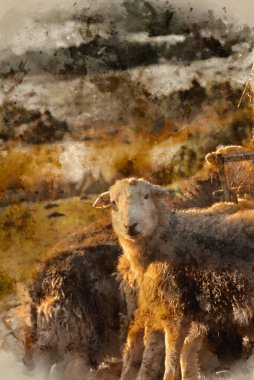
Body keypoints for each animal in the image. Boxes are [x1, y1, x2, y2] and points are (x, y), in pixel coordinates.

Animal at [93, 178, 254, 380]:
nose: (130, 226)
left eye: (147, 196)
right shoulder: (177, 311)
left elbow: (171, 360)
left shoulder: (174, 310)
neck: (168, 235)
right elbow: (176, 352)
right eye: (114, 202)